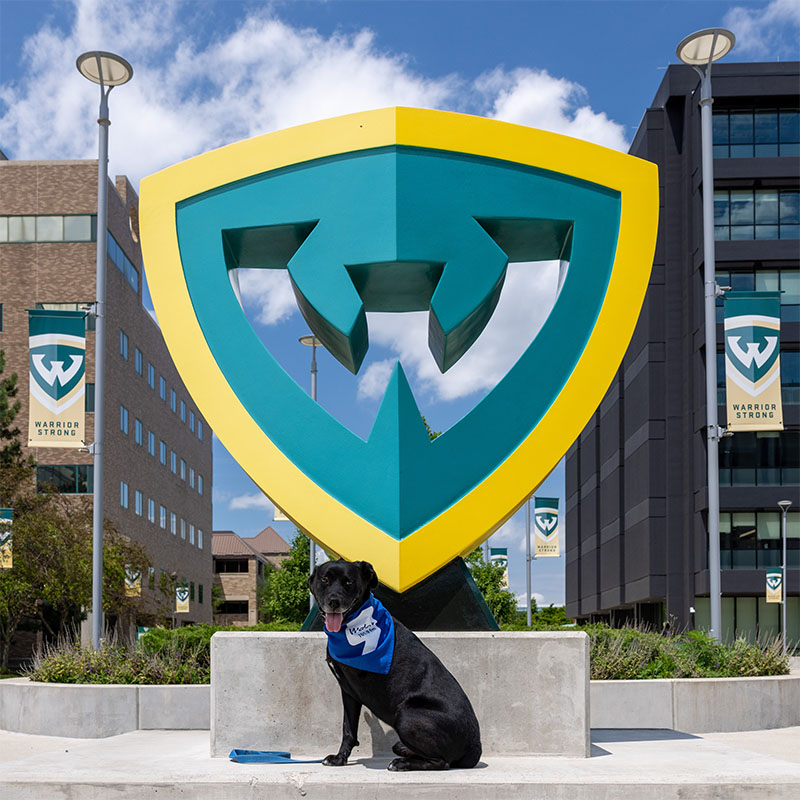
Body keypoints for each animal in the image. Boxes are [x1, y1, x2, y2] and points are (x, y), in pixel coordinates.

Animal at [308, 556, 482, 768]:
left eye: (348, 582)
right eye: (324, 580)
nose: (334, 601)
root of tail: (474, 747)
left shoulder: (354, 687)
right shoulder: (348, 691)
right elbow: (348, 728)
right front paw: (340, 758)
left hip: (406, 715)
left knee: (441, 762)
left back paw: (403, 763)